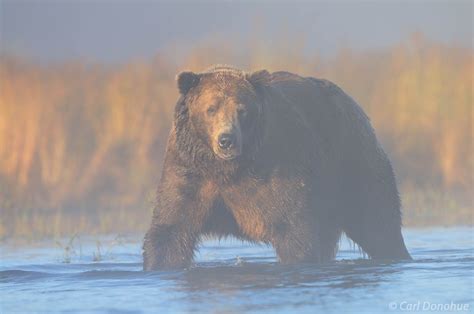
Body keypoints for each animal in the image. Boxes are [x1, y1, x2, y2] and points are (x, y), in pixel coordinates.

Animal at [142, 64, 412, 270]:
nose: (227, 140)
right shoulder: (189, 172)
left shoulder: (275, 169)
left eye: (241, 110)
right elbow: (170, 229)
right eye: (211, 108)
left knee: (377, 223)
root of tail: (354, 105)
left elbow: (293, 228)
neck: (227, 170)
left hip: (351, 163)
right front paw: (159, 265)